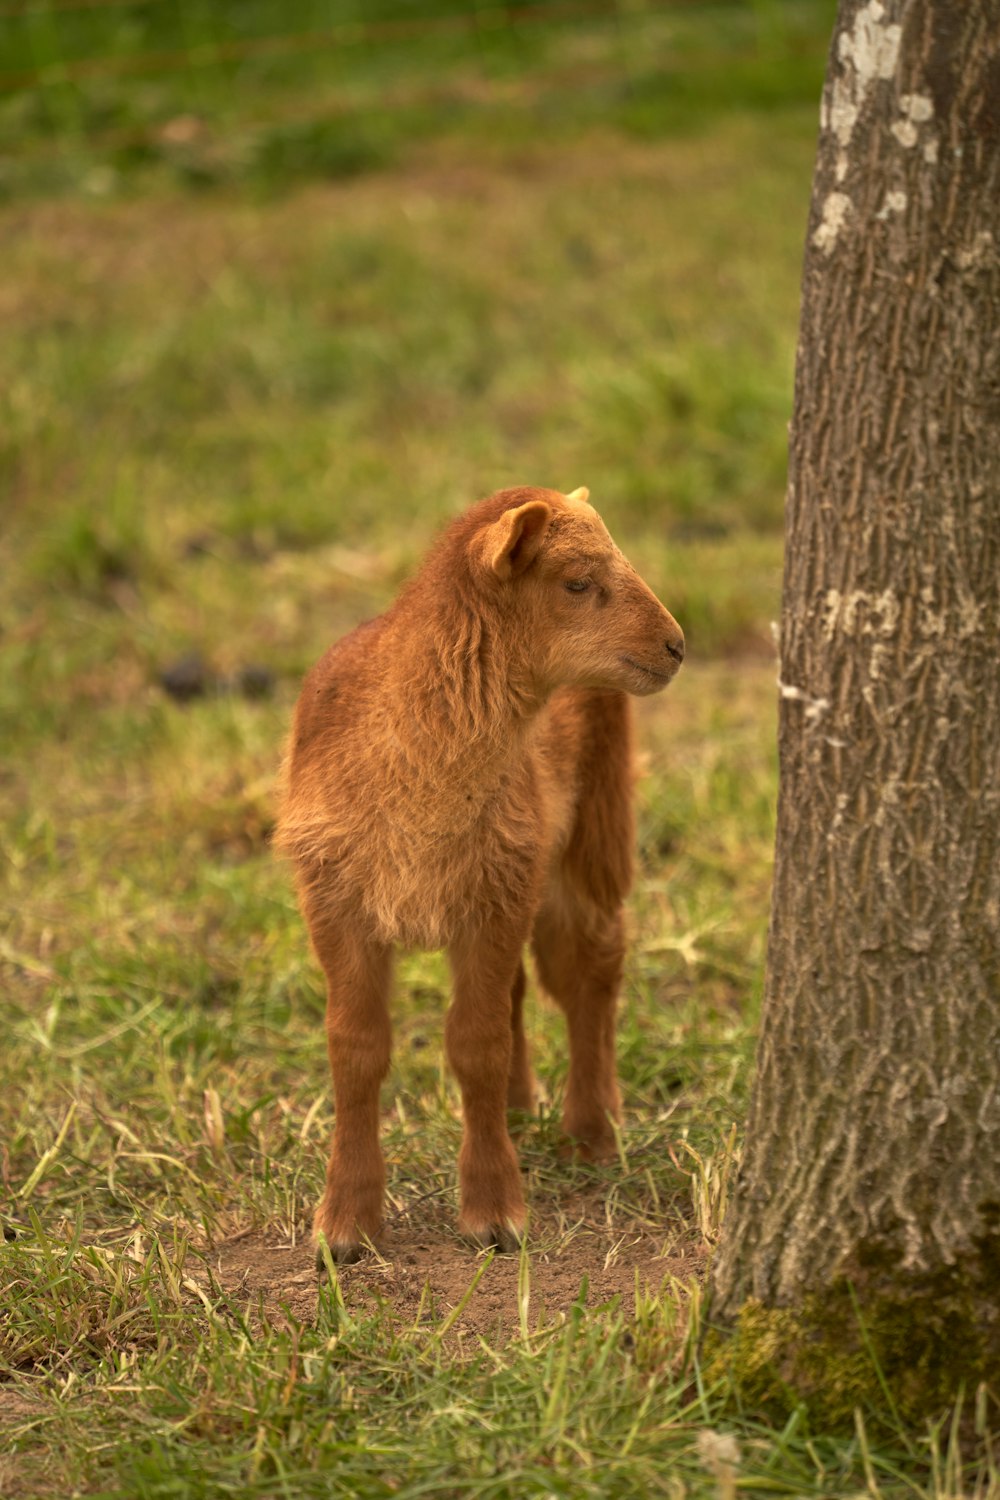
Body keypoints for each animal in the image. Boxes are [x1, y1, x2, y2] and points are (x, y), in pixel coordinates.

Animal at [277, 486, 683, 1260]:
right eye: (577, 582)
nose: (678, 645)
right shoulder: (337, 899)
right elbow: (356, 1047)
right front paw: (345, 1227)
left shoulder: (495, 896)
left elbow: (476, 1044)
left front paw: (495, 1212)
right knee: (529, 983)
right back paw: (522, 1110)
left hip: (592, 829)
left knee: (592, 965)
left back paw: (592, 1129)